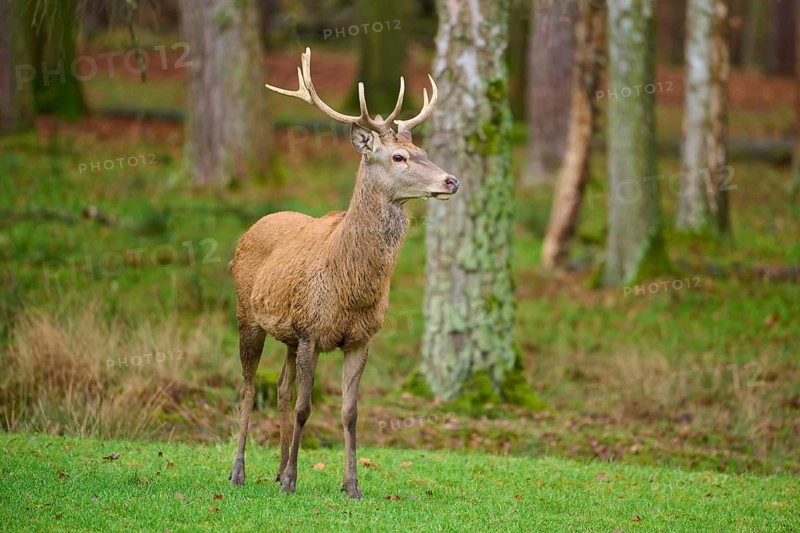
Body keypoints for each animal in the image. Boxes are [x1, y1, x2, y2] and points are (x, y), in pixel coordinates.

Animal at [227, 48, 459, 499]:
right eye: (399, 156)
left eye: (421, 148)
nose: (451, 180)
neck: (350, 288)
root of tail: (251, 227)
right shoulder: (311, 332)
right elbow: (305, 407)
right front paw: (293, 482)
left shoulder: (360, 338)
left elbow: (349, 412)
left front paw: (351, 485)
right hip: (248, 316)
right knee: (248, 390)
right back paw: (239, 472)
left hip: (286, 333)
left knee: (279, 388)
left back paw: (276, 469)